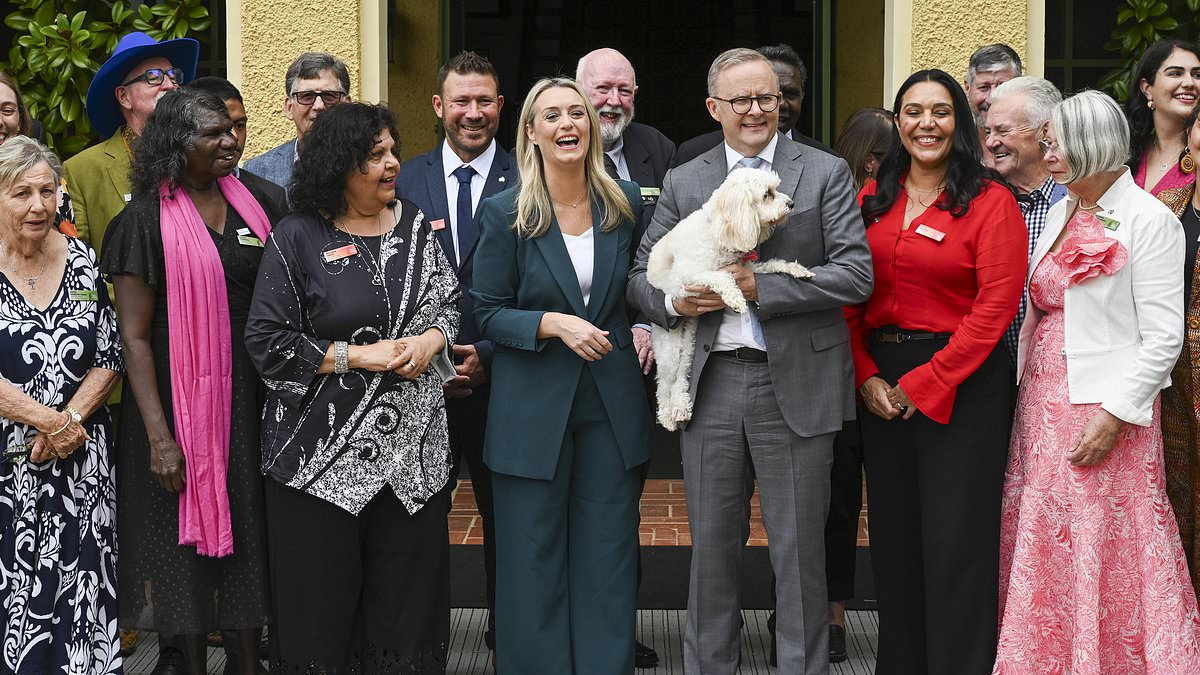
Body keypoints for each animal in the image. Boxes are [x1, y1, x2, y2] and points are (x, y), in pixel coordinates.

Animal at [648, 165, 816, 427]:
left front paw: (797, 270)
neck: (718, 229)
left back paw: (681, 406)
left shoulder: (748, 268)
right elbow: (721, 276)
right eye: (767, 194)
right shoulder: (686, 280)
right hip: (669, 344)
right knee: (665, 381)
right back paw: (666, 414)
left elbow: (773, 265)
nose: (791, 203)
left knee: (681, 376)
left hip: (688, 340)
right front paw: (736, 299)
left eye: (775, 189)